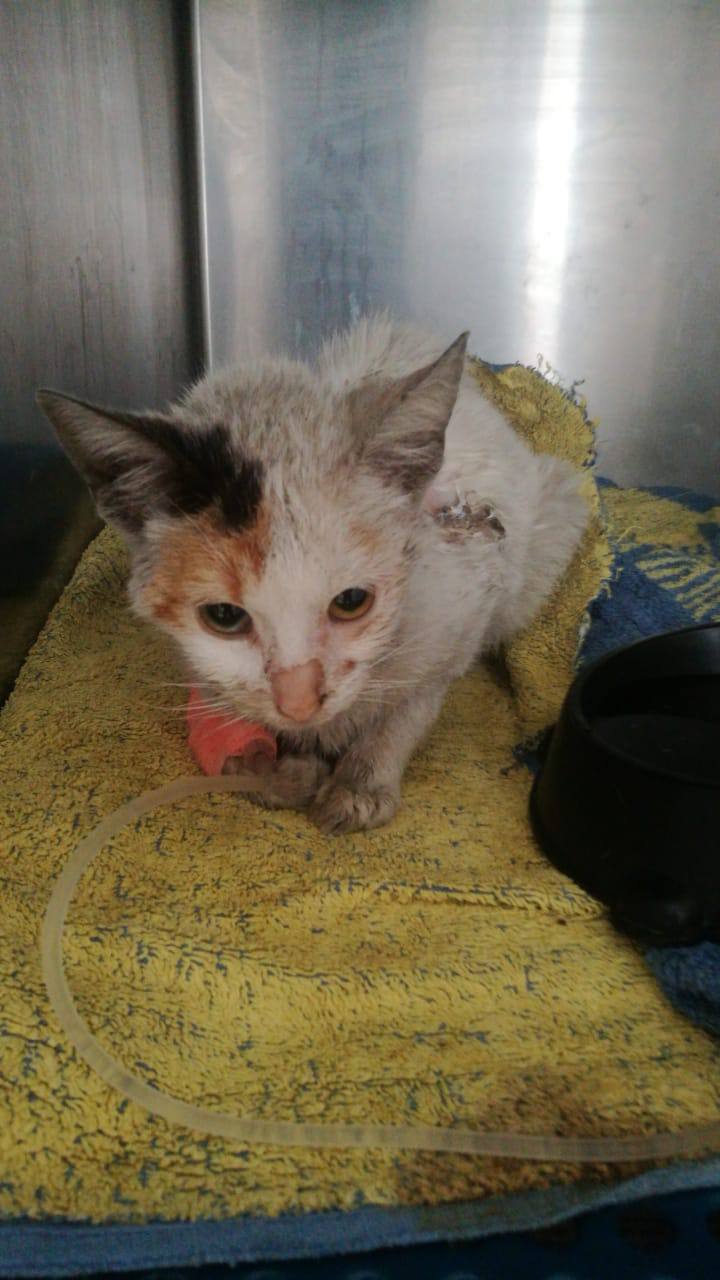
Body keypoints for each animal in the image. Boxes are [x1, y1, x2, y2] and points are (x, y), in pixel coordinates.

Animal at [38, 315, 588, 834]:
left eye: (351, 602)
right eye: (223, 616)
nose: (299, 704)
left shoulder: (463, 606)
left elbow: (410, 709)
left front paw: (361, 783)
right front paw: (278, 769)